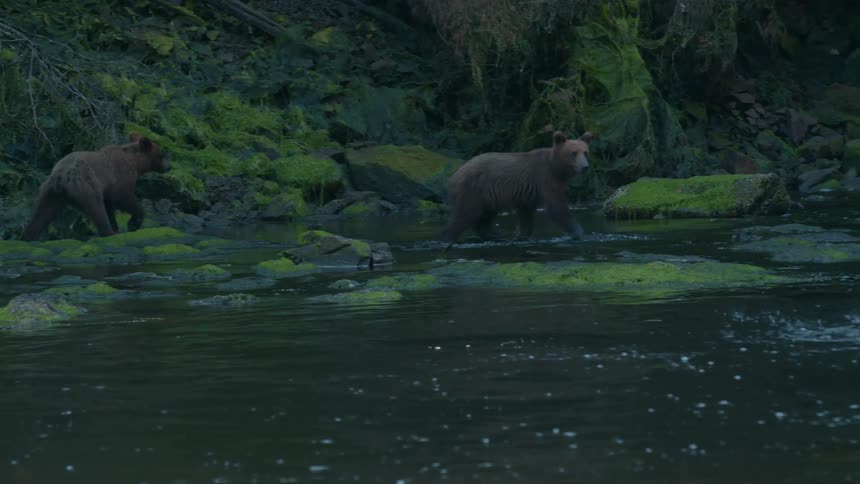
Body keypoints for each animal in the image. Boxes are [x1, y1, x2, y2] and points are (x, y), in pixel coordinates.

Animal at [21, 132, 171, 241]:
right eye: (162, 155)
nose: (168, 167)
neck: (135, 163)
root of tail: (62, 176)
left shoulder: (108, 188)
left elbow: (109, 205)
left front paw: (118, 225)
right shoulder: (120, 176)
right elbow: (124, 198)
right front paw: (133, 223)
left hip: (50, 191)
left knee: (42, 211)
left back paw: (28, 236)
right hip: (86, 186)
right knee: (97, 209)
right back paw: (108, 232)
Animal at [441, 131, 592, 245]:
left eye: (585, 152)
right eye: (573, 153)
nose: (585, 167)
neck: (557, 169)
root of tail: (453, 175)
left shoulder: (529, 194)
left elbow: (526, 216)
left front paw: (523, 235)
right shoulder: (545, 179)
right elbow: (556, 208)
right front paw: (579, 232)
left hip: (488, 198)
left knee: (485, 217)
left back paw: (495, 235)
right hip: (472, 190)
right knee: (463, 215)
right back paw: (448, 238)